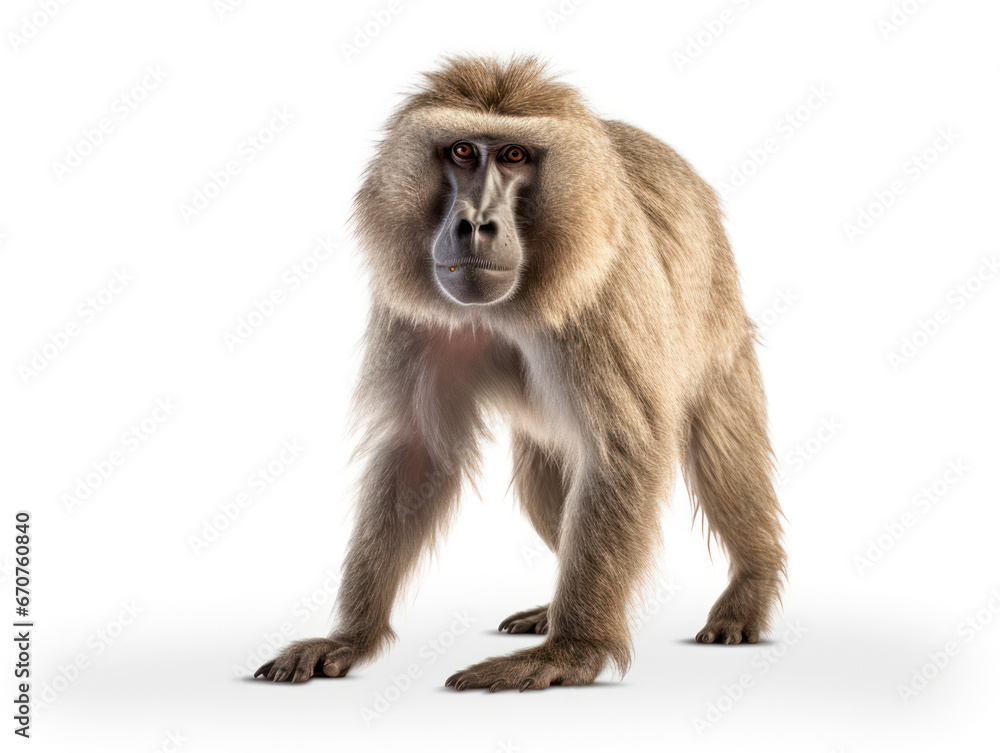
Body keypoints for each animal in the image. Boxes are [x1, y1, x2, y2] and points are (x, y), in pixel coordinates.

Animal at [254, 54, 786, 691]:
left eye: (513, 155)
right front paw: (351, 637)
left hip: (720, 333)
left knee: (718, 445)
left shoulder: (601, 289)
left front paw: (571, 652)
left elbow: (625, 450)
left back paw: (749, 585)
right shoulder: (416, 310)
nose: (476, 223)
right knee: (543, 481)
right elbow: (419, 448)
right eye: (462, 151)